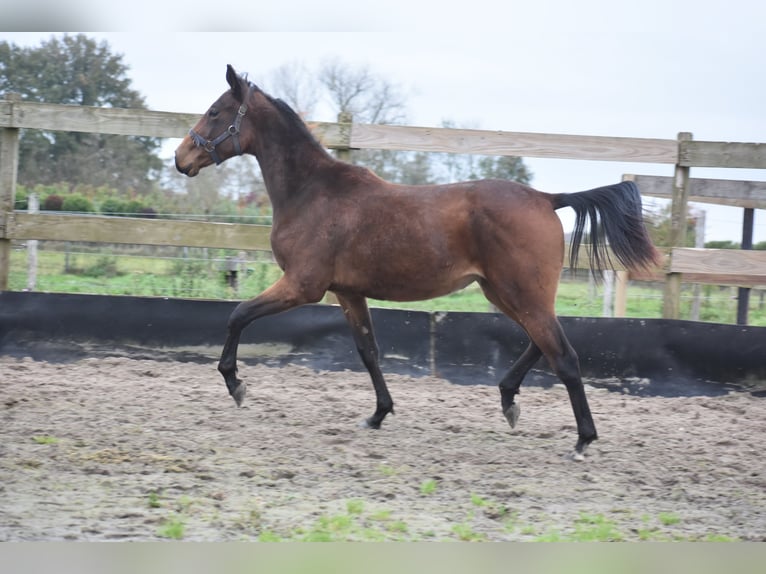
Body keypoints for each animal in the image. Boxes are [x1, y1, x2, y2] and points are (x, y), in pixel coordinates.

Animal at [176, 65, 660, 462]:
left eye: (216, 112)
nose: (181, 158)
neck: (312, 192)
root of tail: (546, 197)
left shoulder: (302, 285)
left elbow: (238, 316)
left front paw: (236, 385)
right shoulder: (347, 292)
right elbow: (368, 351)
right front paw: (378, 414)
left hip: (521, 293)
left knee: (564, 355)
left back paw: (582, 440)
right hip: (504, 292)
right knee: (543, 344)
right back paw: (509, 401)